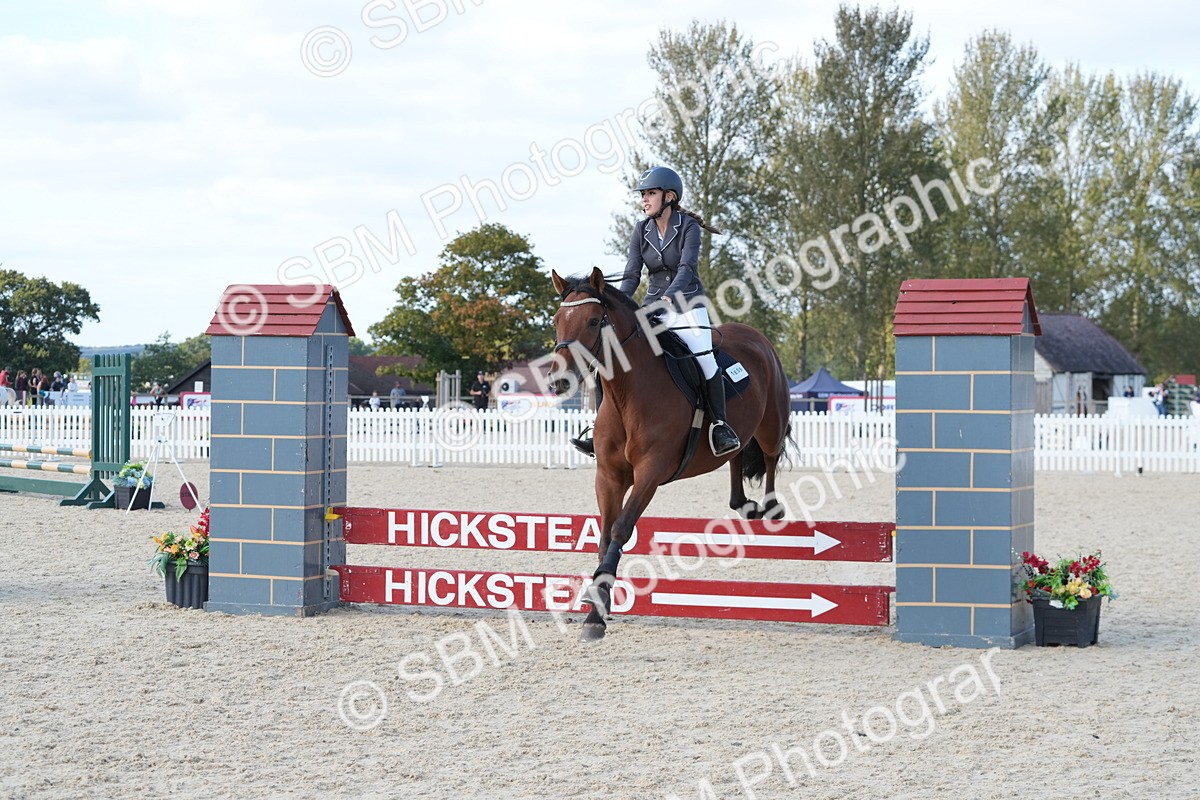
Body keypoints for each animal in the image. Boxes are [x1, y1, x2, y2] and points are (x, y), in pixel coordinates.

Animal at [549, 267, 792, 641]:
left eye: (593, 321)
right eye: (557, 321)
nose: (558, 381)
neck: (627, 395)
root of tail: (755, 336)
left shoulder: (650, 472)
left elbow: (621, 529)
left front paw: (596, 612)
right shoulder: (608, 476)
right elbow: (604, 536)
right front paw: (597, 608)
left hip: (772, 423)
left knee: (770, 454)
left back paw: (772, 507)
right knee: (737, 454)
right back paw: (743, 503)